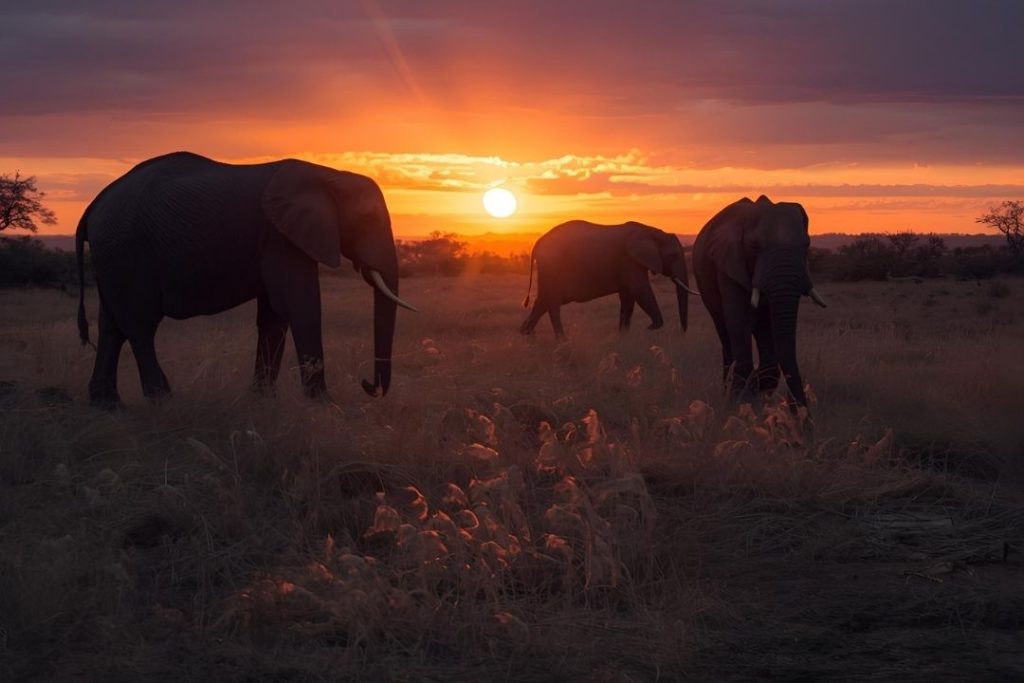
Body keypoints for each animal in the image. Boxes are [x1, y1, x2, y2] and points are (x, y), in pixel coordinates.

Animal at [74, 151, 418, 407]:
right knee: (139, 325)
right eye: (367, 219)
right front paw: (324, 405)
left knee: (112, 325)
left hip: (113, 255)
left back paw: (108, 406)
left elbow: (274, 315)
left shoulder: (276, 236)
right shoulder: (280, 236)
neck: (330, 175)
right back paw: (163, 401)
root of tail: (93, 206)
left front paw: (263, 402)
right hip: (126, 248)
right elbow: (298, 304)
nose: (367, 385)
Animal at [519, 220, 695, 337]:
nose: (681, 333)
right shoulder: (630, 261)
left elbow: (628, 298)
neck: (652, 231)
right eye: (673, 256)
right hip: (552, 266)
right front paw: (648, 329)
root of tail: (537, 243)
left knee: (542, 302)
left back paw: (527, 337)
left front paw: (624, 337)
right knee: (552, 304)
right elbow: (640, 290)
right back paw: (561, 341)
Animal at [692, 195, 827, 407]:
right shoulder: (729, 263)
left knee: (760, 327)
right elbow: (738, 318)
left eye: (807, 245)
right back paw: (729, 390)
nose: (800, 411)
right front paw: (738, 403)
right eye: (754, 246)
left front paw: (755, 396)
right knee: (723, 327)